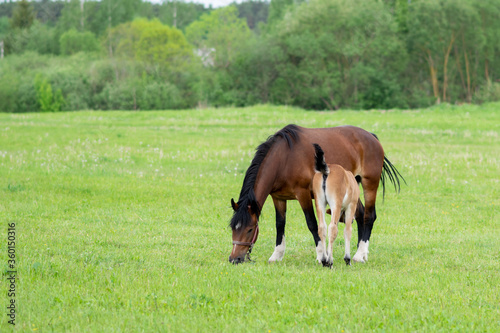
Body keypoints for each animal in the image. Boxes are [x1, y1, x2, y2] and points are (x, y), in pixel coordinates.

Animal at [229, 123, 404, 264]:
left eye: (250, 229)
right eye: (232, 228)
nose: (234, 259)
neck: (284, 159)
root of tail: (372, 137)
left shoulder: (303, 194)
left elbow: (312, 223)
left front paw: (321, 256)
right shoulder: (278, 197)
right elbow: (280, 224)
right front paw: (277, 255)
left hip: (369, 185)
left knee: (369, 216)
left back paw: (359, 255)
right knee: (359, 215)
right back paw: (359, 252)